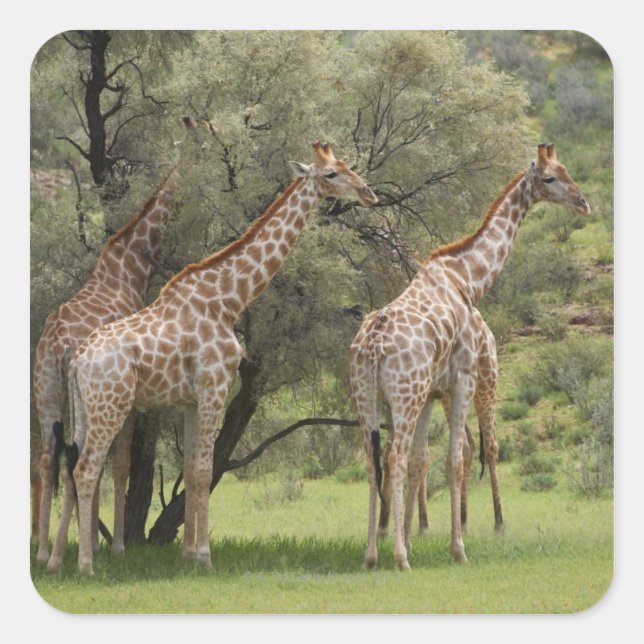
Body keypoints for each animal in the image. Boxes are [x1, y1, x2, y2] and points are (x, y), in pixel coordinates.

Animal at [32, 116, 210, 564]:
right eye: (204, 135)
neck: (132, 264)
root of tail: (57, 343)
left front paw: (97, 544)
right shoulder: (126, 397)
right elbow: (122, 463)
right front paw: (115, 547)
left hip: (44, 389)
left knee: (46, 458)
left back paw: (42, 553)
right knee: (75, 460)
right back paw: (71, 553)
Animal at [47, 142, 377, 575]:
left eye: (346, 165)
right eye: (331, 174)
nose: (369, 194)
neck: (229, 302)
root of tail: (78, 360)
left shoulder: (190, 398)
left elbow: (190, 470)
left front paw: (188, 555)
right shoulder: (215, 385)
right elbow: (205, 471)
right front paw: (205, 557)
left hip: (85, 410)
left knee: (72, 469)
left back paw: (57, 561)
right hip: (111, 406)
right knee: (86, 469)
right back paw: (86, 565)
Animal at [349, 143, 589, 570]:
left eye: (566, 170)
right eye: (549, 178)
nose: (583, 203)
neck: (467, 279)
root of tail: (373, 346)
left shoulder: (431, 392)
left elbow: (423, 460)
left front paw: (417, 537)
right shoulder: (462, 378)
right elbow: (456, 459)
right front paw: (457, 549)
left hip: (366, 395)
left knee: (372, 461)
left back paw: (371, 555)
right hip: (405, 393)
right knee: (395, 457)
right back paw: (400, 558)